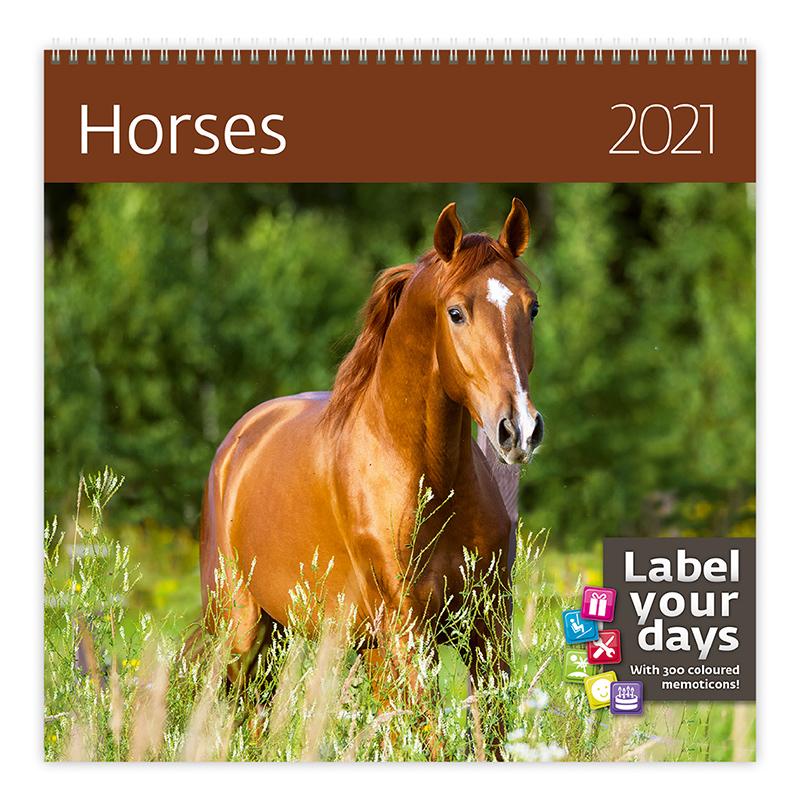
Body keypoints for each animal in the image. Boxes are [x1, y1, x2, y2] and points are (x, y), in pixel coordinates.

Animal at [199, 198, 543, 701]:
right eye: (456, 312)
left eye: (531, 307)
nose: (519, 429)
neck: (429, 480)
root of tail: (237, 443)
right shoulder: (409, 632)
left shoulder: (488, 629)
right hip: (239, 629)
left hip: (316, 639)